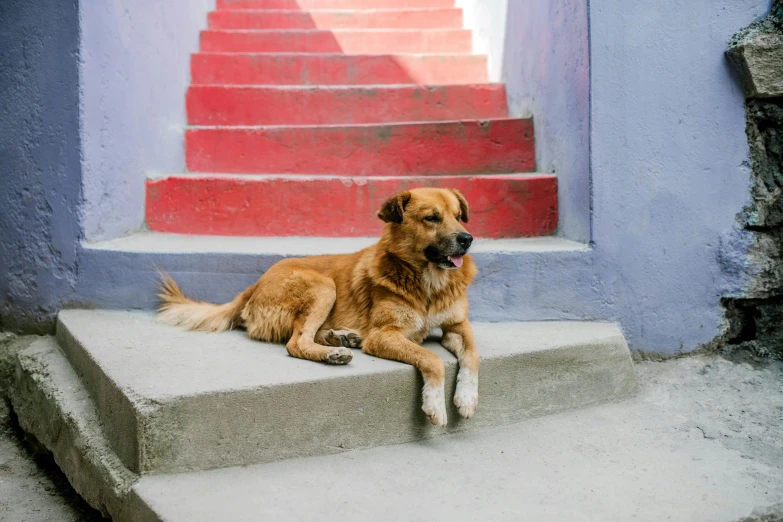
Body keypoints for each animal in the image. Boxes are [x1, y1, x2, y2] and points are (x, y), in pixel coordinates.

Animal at [157, 186, 480, 422]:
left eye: (458, 216)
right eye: (432, 218)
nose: (467, 239)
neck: (430, 282)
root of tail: (254, 285)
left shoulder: (458, 325)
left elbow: (472, 357)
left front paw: (466, 398)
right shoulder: (383, 335)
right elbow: (432, 359)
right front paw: (435, 404)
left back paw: (342, 338)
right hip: (323, 286)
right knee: (295, 342)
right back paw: (331, 353)